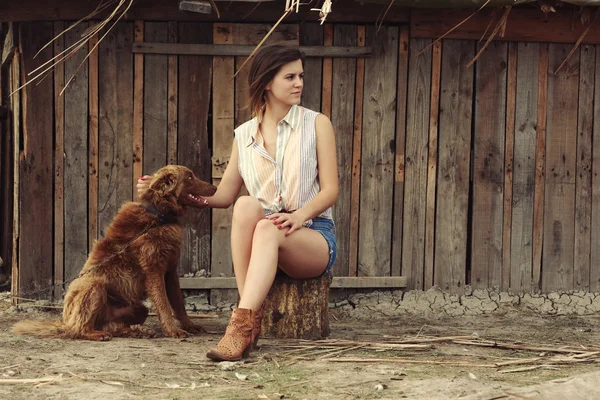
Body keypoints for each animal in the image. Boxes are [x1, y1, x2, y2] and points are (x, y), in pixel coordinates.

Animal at [12, 166, 216, 340]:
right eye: (189, 177)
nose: (214, 187)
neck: (158, 215)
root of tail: (64, 323)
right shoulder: (154, 271)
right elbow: (164, 303)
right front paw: (173, 331)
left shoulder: (170, 271)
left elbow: (179, 303)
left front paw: (190, 326)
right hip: (94, 287)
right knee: (79, 328)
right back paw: (98, 334)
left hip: (138, 308)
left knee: (114, 327)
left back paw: (138, 331)